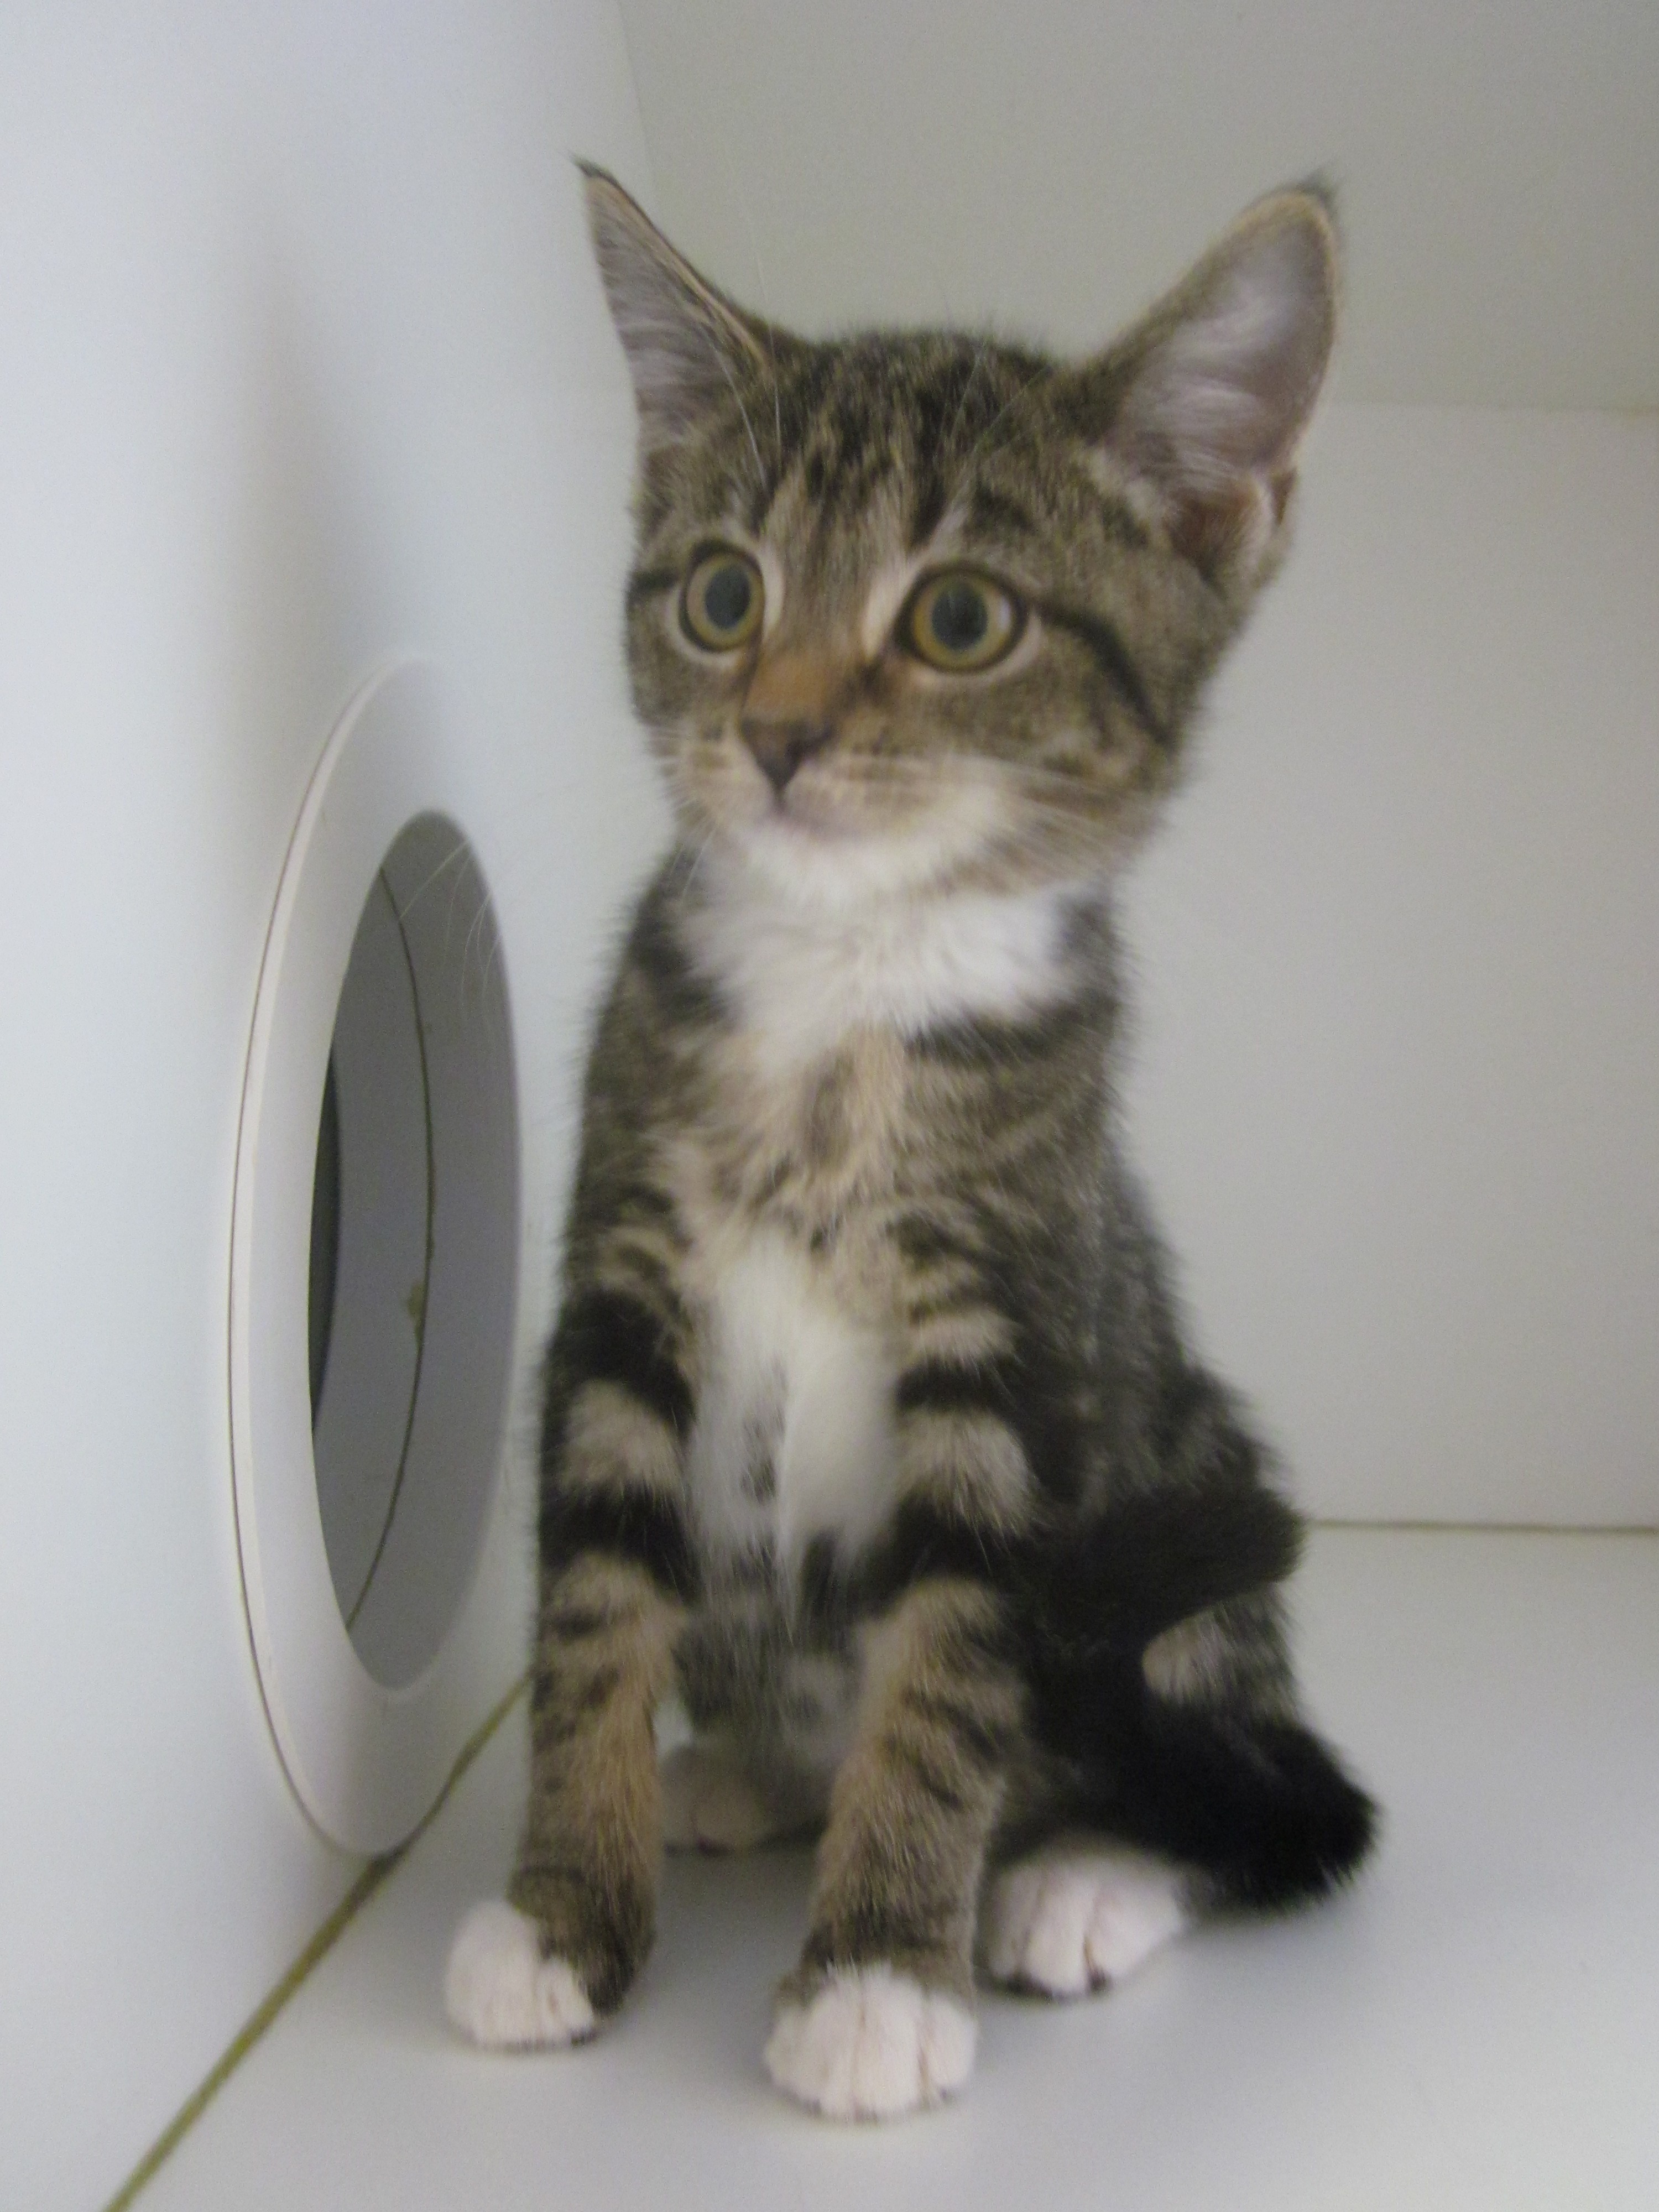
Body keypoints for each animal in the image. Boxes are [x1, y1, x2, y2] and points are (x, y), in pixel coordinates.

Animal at [444, 163, 1375, 2121]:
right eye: (722, 593)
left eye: (958, 622)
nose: (778, 735)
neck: (844, 999)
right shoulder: (618, 1287)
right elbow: (592, 1610)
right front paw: (565, 1905)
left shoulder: (1020, 1334)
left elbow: (954, 1662)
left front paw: (878, 1969)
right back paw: (745, 1770)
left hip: (1186, 1457)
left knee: (1229, 1763)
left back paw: (1079, 1873)